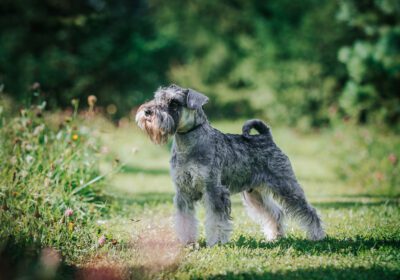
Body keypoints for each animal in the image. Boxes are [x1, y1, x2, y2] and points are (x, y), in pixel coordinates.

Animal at [136, 84, 326, 246]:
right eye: (157, 98)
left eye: (174, 102)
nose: (147, 111)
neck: (188, 144)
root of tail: (267, 137)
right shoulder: (183, 192)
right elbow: (185, 220)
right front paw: (187, 242)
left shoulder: (214, 190)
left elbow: (216, 220)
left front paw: (216, 242)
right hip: (254, 194)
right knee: (275, 213)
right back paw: (275, 237)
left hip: (286, 186)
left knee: (308, 210)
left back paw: (317, 235)